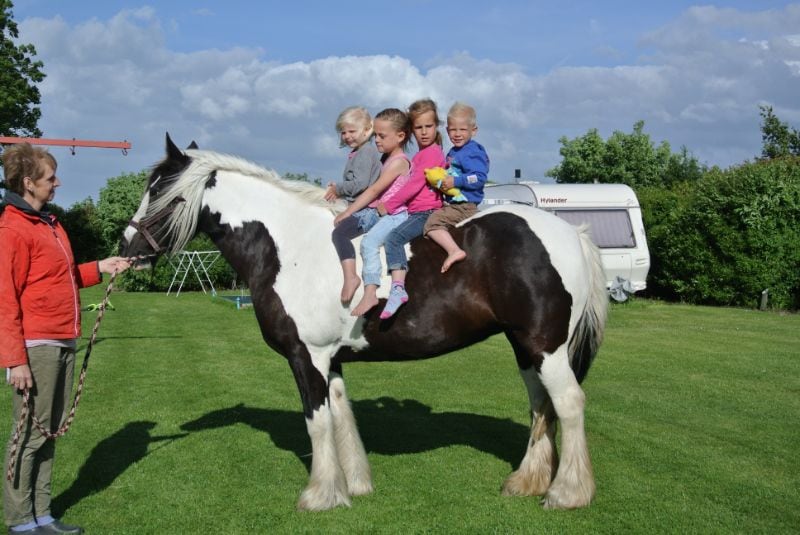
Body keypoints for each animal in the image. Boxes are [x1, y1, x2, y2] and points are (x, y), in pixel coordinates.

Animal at [119, 136, 608, 512]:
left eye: (159, 191)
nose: (126, 248)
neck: (286, 245)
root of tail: (573, 234)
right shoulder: (330, 359)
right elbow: (341, 417)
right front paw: (351, 485)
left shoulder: (306, 357)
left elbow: (317, 422)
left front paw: (319, 496)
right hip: (525, 347)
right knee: (541, 406)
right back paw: (526, 482)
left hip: (545, 346)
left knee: (568, 404)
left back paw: (566, 493)